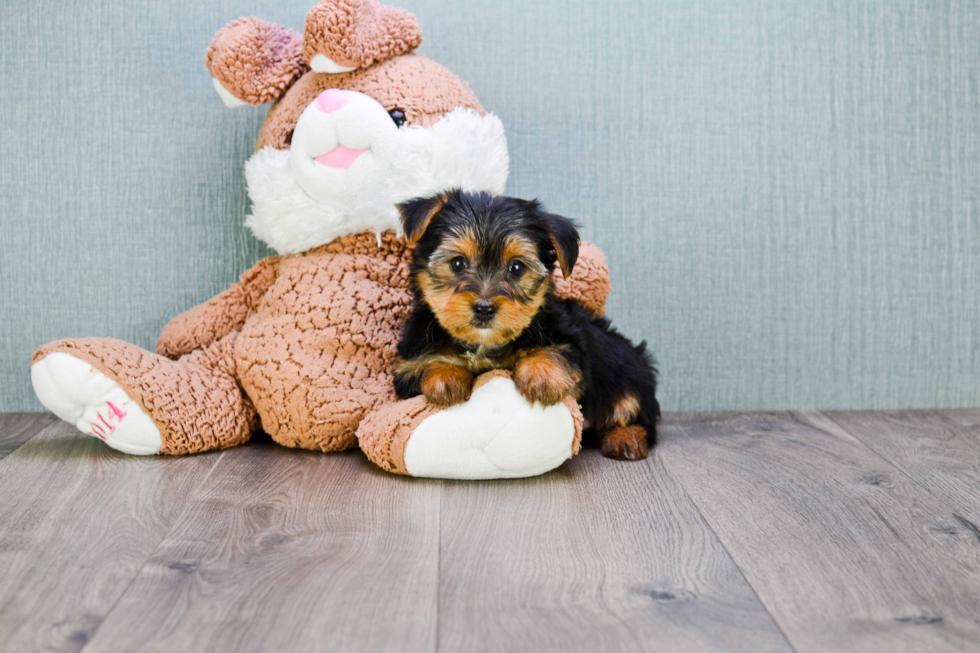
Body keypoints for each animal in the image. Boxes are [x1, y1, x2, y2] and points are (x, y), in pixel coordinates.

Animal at [394, 191, 664, 460]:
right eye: (458, 263)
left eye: (516, 267)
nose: (484, 308)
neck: (484, 344)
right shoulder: (408, 364)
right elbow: (424, 365)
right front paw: (446, 375)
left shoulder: (573, 341)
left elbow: (560, 351)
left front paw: (542, 375)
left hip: (627, 371)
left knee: (632, 407)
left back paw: (626, 437)